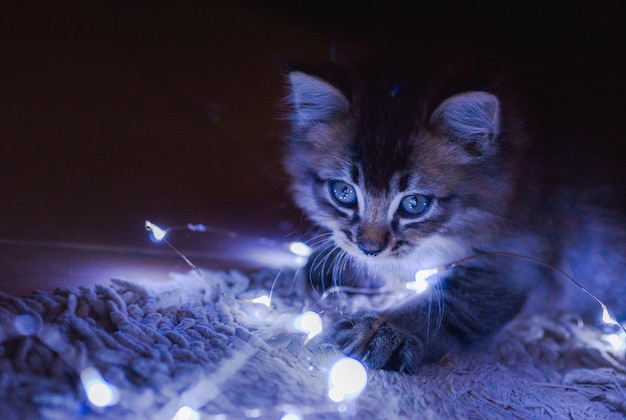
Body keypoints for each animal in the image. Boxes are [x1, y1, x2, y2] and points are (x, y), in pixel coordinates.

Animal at [280, 57, 624, 372]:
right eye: (344, 192)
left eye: (415, 204)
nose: (370, 247)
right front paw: (323, 267)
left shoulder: (516, 258)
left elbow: (444, 304)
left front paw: (388, 330)